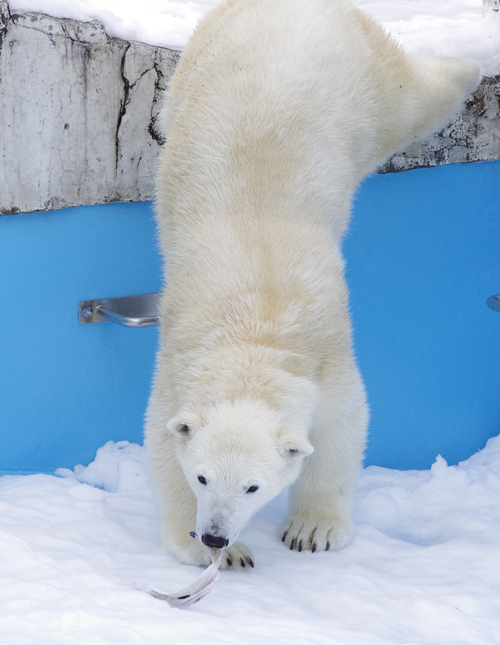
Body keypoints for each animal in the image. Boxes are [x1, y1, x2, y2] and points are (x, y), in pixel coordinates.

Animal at [144, 0, 476, 568]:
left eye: (254, 487)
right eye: (203, 478)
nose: (215, 536)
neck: (256, 325)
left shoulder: (327, 355)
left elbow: (343, 426)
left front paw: (312, 531)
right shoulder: (178, 360)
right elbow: (163, 437)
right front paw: (210, 550)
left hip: (365, 81)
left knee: (414, 100)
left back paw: (471, 64)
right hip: (202, 56)